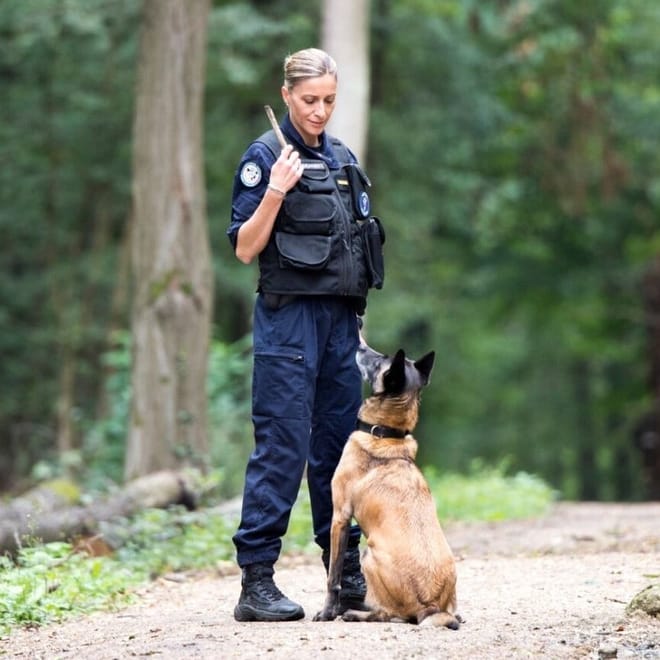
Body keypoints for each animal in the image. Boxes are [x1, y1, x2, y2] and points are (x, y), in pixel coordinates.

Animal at [314, 342, 458, 628]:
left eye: (381, 359)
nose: (359, 344)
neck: (384, 434)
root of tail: (430, 604)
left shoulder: (340, 517)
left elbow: (333, 577)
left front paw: (327, 613)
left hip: (369, 555)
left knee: (392, 615)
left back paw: (355, 613)